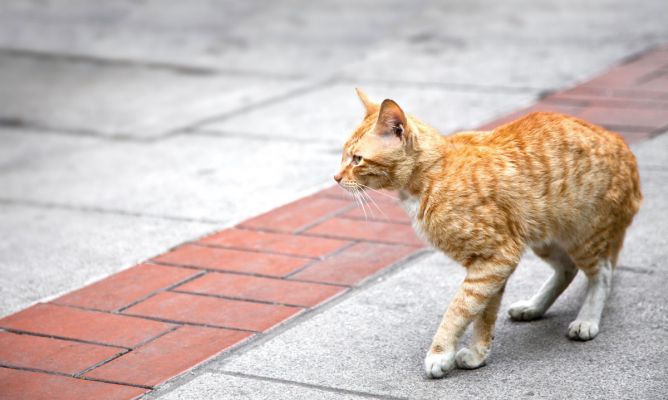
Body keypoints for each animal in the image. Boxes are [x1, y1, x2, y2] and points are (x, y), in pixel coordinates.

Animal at [334, 89, 640, 380]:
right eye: (343, 156)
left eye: (357, 159)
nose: (336, 178)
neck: (433, 175)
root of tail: (618, 139)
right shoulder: (490, 266)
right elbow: (483, 314)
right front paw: (478, 354)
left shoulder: (496, 259)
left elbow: (459, 309)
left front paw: (440, 353)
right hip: (544, 237)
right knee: (567, 269)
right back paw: (533, 307)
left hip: (583, 236)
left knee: (601, 273)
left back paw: (587, 319)